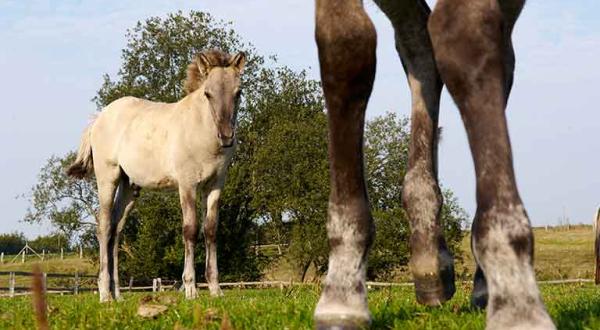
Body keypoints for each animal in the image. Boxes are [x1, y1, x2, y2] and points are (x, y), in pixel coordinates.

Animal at [69, 49, 246, 302]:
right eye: (208, 94)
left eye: (238, 92)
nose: (227, 136)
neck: (201, 131)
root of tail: (99, 118)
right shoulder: (187, 184)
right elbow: (190, 229)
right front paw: (190, 289)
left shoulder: (215, 185)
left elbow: (211, 229)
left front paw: (215, 289)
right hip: (107, 178)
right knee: (103, 227)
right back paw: (104, 294)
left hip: (129, 187)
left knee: (116, 229)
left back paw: (118, 295)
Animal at [316, 0, 556, 330]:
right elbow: (344, 46)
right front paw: (342, 289)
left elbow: (465, 32)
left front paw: (516, 301)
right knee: (419, 38)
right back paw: (428, 256)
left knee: (500, 56)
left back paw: (486, 283)